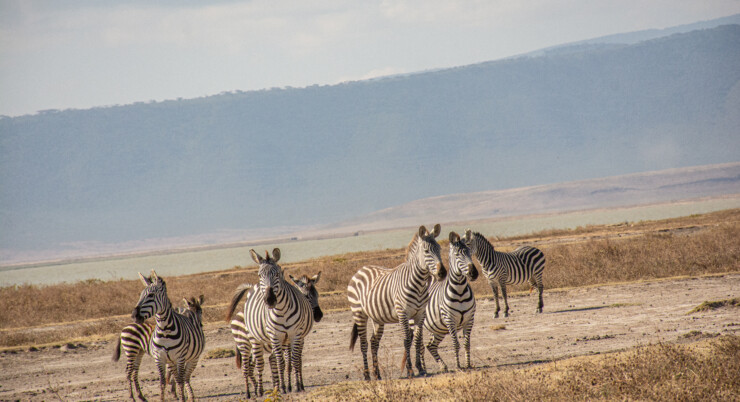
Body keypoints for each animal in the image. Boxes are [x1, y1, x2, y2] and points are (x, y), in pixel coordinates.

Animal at [132, 270, 205, 402]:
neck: (165, 329)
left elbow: (180, 381)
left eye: (151, 295)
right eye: (140, 295)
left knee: (185, 377)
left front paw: (181, 397)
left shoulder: (180, 358)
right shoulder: (160, 358)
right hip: (170, 361)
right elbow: (162, 382)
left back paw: (189, 396)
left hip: (192, 359)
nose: (134, 315)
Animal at [225, 250, 318, 394]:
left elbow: (292, 361)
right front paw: (286, 386)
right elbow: (286, 362)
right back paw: (252, 392)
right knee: (251, 366)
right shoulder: (279, 337)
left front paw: (291, 385)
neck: (282, 310)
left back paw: (258, 389)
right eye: (307, 296)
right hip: (247, 343)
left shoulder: (294, 336)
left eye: (317, 295)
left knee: (253, 366)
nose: (318, 315)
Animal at [422, 231, 480, 372]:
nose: (473, 273)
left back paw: (443, 366)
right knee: (418, 346)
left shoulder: (469, 319)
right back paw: (422, 368)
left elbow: (466, 344)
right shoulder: (450, 320)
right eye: (457, 255)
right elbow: (456, 344)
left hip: (437, 328)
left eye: (470, 253)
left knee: (430, 345)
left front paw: (468, 364)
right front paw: (459, 366)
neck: (460, 291)